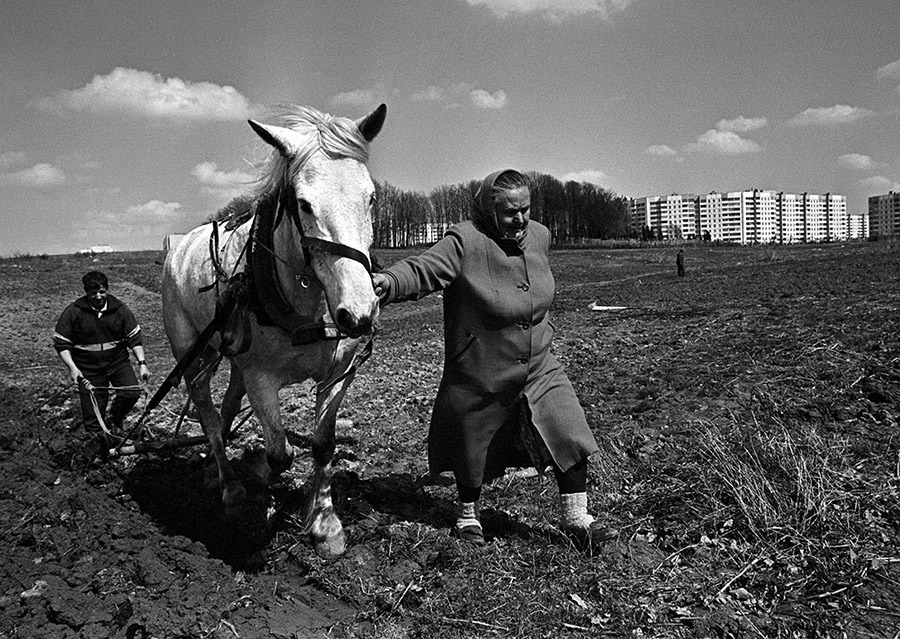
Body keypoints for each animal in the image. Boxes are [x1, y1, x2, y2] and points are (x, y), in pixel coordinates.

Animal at [162, 102, 386, 556]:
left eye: (370, 197)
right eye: (303, 204)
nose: (359, 312)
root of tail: (176, 246)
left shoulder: (338, 374)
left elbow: (322, 445)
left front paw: (324, 522)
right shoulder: (262, 379)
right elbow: (280, 453)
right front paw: (261, 484)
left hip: (231, 353)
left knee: (228, 405)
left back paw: (215, 471)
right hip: (191, 352)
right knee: (207, 411)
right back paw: (229, 486)